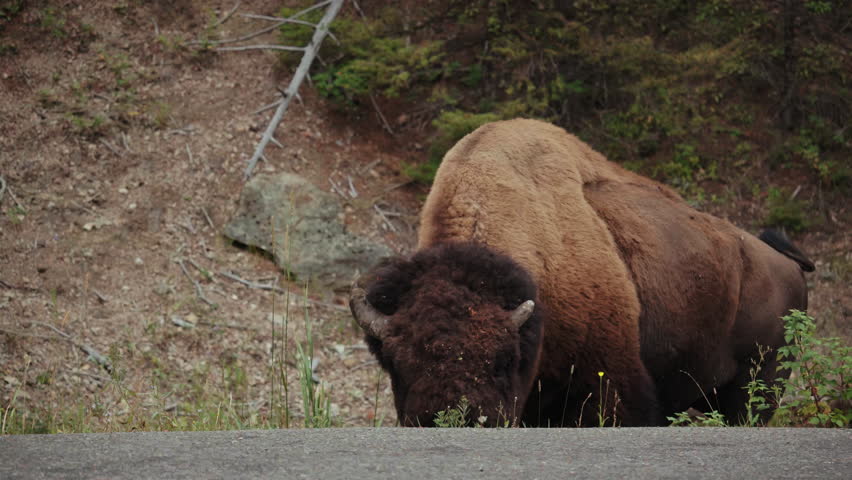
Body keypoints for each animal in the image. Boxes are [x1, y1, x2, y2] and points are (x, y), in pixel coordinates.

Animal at [350, 119, 813, 427]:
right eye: (396, 365)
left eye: (503, 360)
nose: (453, 417)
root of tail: (784, 262)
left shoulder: (609, 389)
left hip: (759, 385)